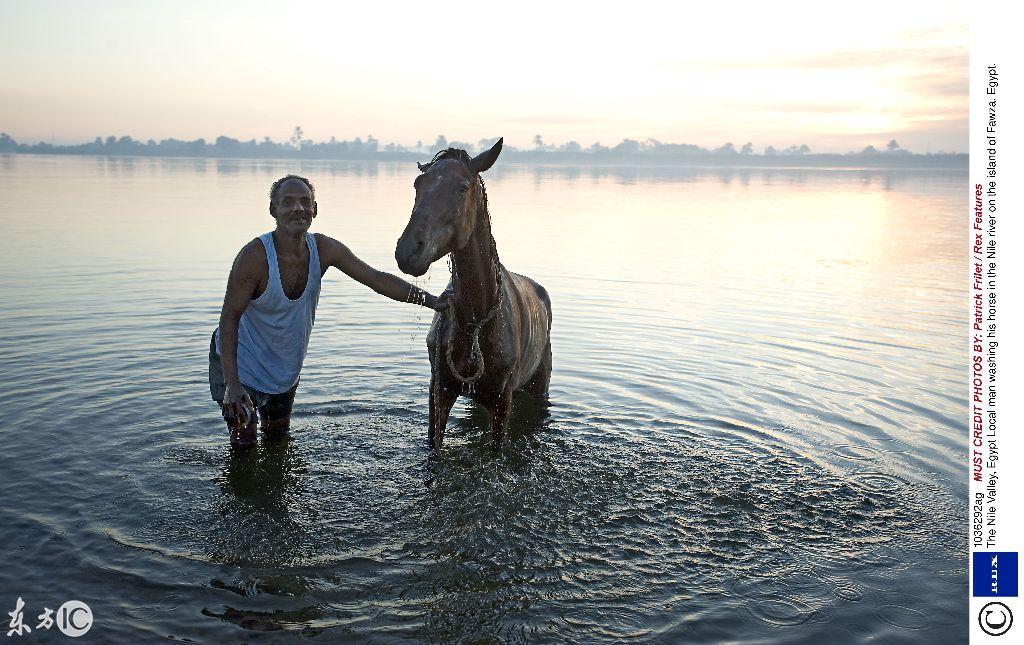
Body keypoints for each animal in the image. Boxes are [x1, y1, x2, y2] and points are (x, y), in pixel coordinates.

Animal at [393, 138, 552, 450]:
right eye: (418, 184)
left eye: (463, 188)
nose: (408, 251)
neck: (475, 320)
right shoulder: (440, 391)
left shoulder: (502, 402)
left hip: (539, 386)